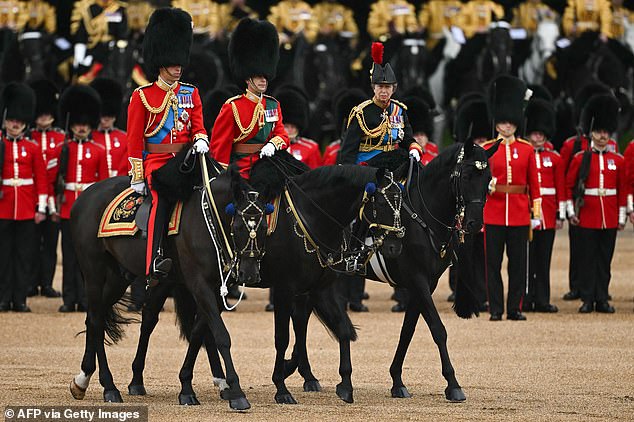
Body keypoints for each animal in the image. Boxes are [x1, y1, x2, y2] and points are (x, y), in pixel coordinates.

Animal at [68, 153, 268, 410]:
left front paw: (187, 387)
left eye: (264, 226)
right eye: (240, 226)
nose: (250, 274)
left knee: (98, 318)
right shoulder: (198, 283)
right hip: (94, 271)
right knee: (95, 319)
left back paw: (91, 381)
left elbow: (199, 332)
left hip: (117, 277)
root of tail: (85, 195)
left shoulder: (212, 286)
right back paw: (104, 385)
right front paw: (236, 391)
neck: (208, 220)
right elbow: (221, 335)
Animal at [125, 160, 402, 404]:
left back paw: (216, 383)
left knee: (200, 328)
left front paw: (344, 385)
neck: (311, 217)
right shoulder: (284, 289)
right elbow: (283, 337)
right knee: (149, 321)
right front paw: (281, 386)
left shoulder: (320, 289)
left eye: (402, 199)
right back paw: (137, 380)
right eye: (382, 202)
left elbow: (343, 330)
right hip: (166, 279)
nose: (394, 246)